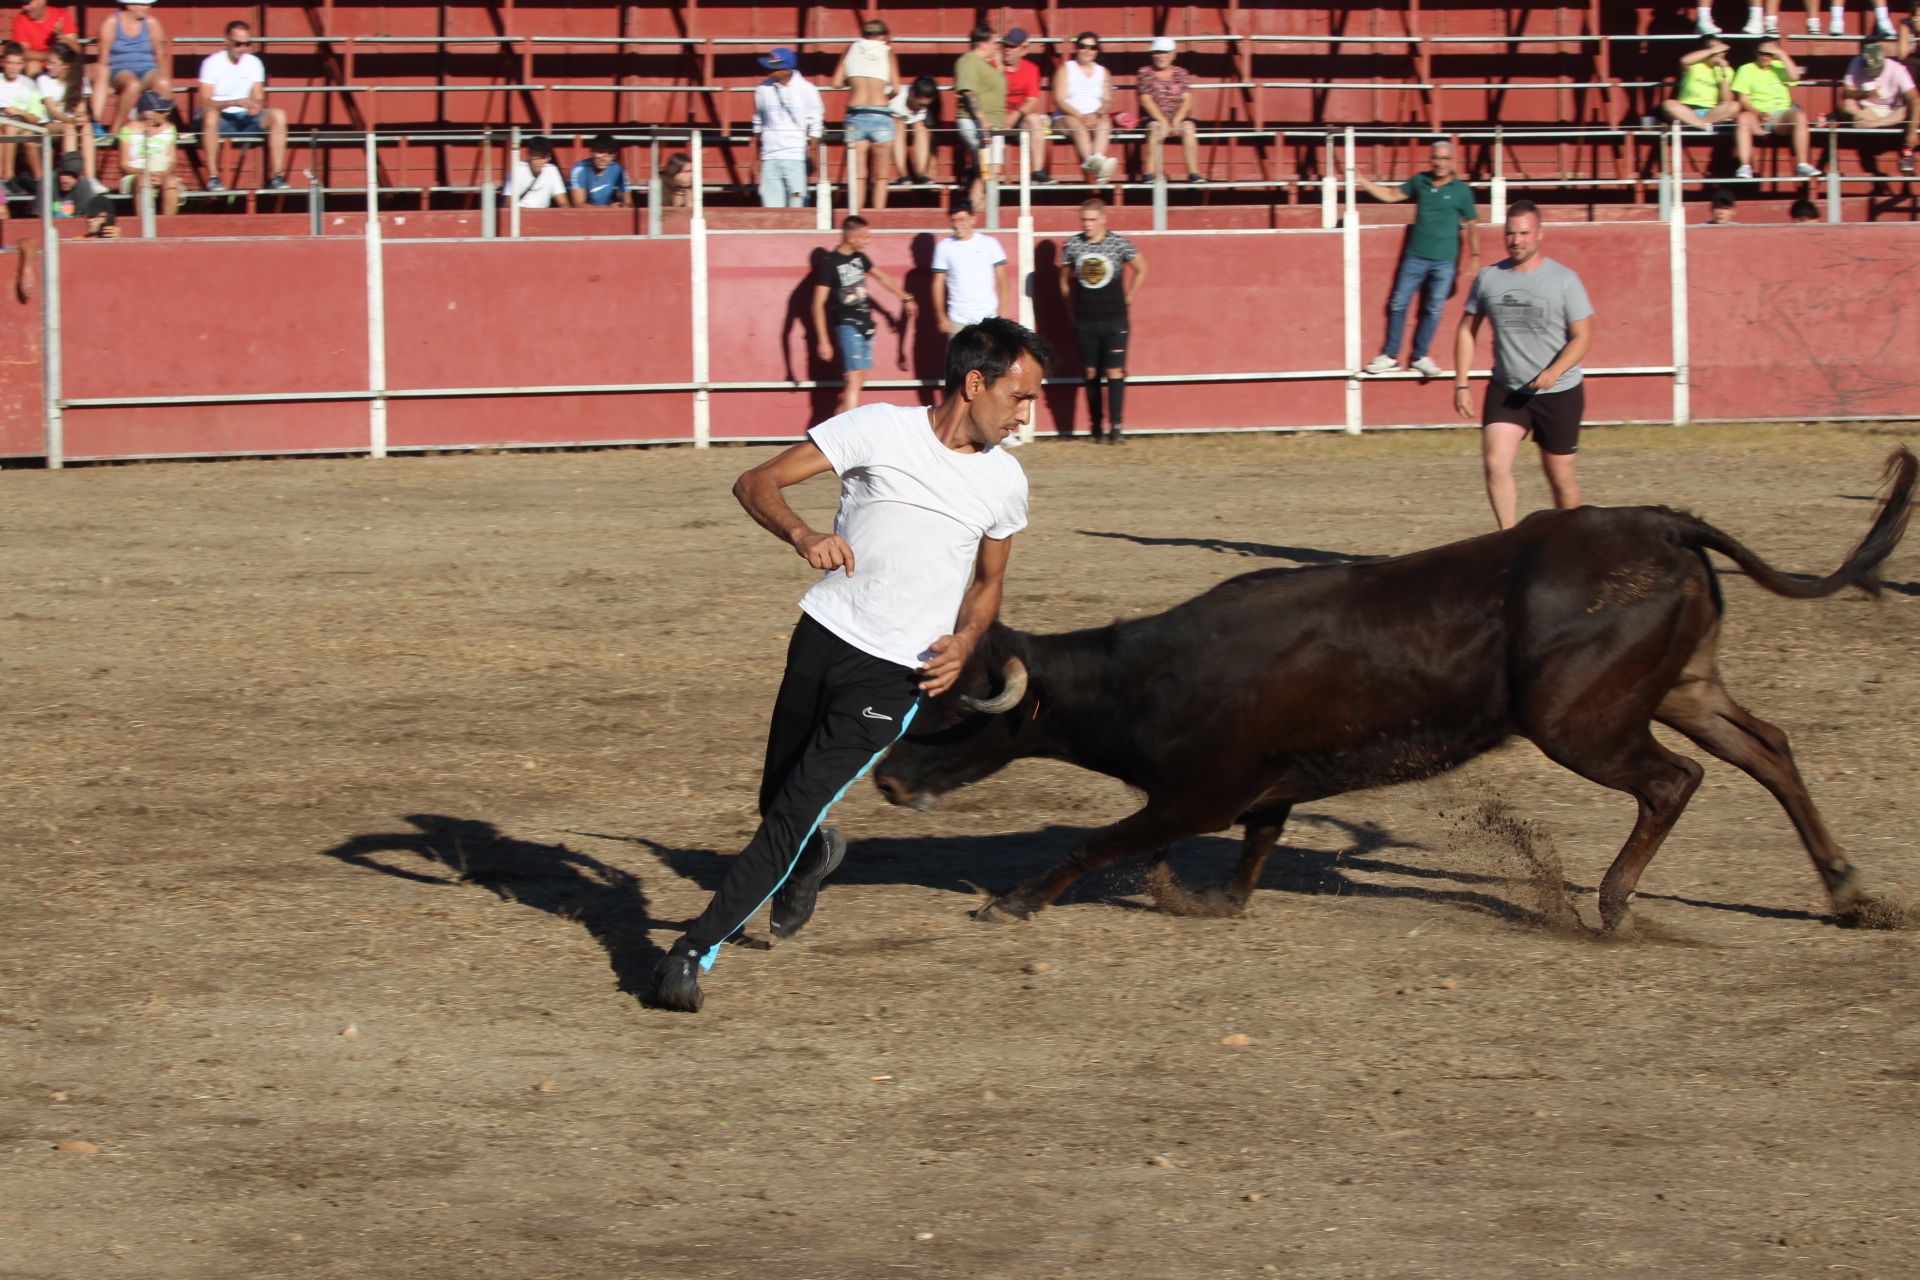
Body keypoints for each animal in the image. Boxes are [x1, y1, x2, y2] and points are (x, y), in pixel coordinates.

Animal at [879, 450, 1912, 932]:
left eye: (952, 712)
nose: (885, 781)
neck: (1148, 675)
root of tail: (1662, 522)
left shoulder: (1199, 792)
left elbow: (1100, 842)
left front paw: (1013, 900)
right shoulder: (1264, 791)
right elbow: (1251, 853)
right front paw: (1203, 899)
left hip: (1578, 720)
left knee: (1674, 782)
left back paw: (1615, 903)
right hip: (1680, 688)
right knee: (1767, 749)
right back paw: (1847, 889)